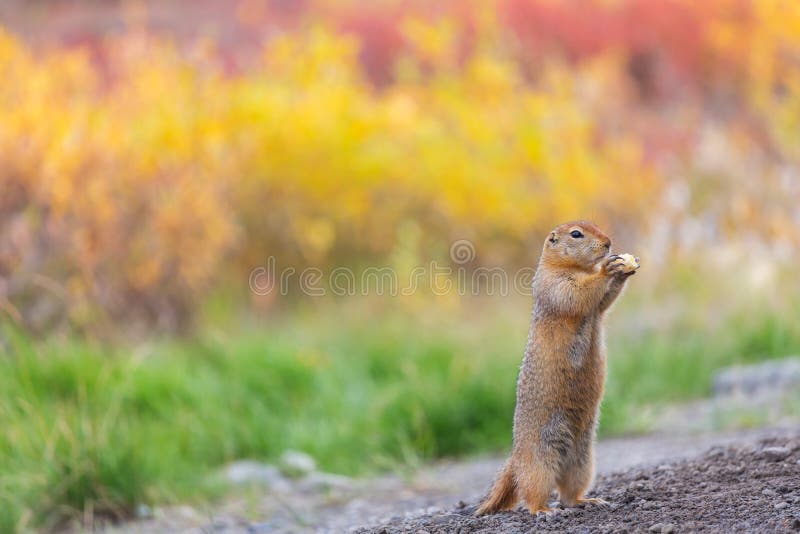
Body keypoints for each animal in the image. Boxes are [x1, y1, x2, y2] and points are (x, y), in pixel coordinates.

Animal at [475, 220, 639, 516]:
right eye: (576, 234)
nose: (608, 242)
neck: (574, 268)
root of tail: (515, 458)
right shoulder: (554, 283)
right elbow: (575, 295)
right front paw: (607, 269)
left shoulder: (594, 303)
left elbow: (603, 301)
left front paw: (623, 268)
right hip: (540, 460)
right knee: (531, 491)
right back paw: (542, 510)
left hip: (583, 461)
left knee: (568, 494)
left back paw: (587, 500)